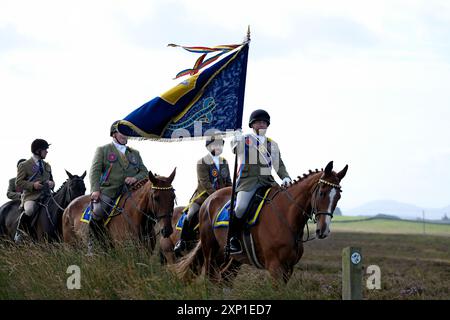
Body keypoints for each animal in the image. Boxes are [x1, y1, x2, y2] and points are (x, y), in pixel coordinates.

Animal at [174, 161, 350, 284]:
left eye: (339, 196)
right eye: (322, 193)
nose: (323, 230)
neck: (287, 217)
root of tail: (209, 199)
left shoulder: (288, 269)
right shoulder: (275, 268)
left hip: (233, 258)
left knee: (224, 278)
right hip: (210, 250)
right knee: (210, 279)